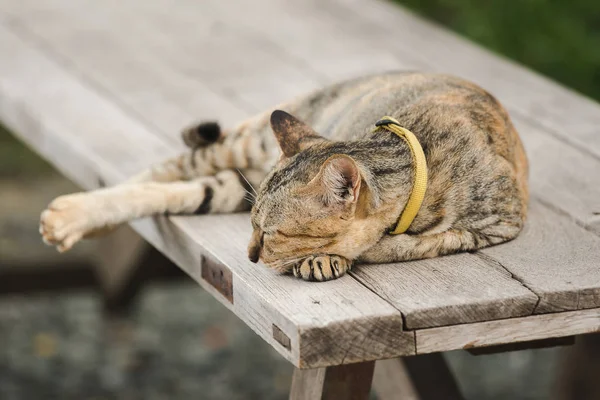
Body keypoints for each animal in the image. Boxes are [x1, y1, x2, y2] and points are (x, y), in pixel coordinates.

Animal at [37, 71, 528, 282]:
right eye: (255, 229)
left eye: (270, 233)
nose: (250, 256)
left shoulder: (497, 222)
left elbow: (409, 244)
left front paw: (335, 256)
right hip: (244, 144)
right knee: (160, 170)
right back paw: (76, 213)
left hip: (237, 180)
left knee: (179, 190)